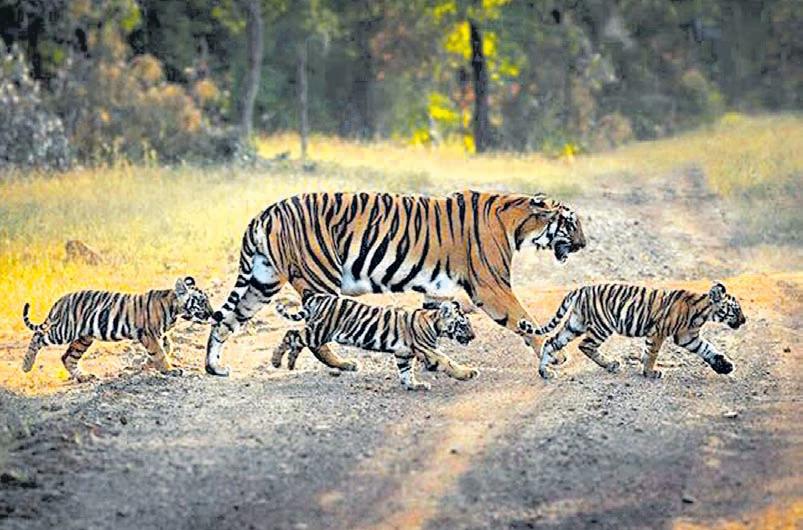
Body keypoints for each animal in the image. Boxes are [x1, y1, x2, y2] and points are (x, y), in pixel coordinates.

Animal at [21, 277, 213, 382]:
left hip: (83, 338)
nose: (215, 315)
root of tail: (61, 300)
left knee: (68, 357)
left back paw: (84, 377)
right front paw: (169, 370)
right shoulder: (149, 334)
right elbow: (159, 352)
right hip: (64, 330)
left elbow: (166, 347)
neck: (175, 309)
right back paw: (26, 365)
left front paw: (146, 365)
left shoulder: (159, 334)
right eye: (202, 302)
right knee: (39, 335)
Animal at [205, 190, 586, 376]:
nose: (584, 244)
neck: (519, 223)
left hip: (261, 282)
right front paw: (556, 356)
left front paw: (429, 363)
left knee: (224, 323)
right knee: (314, 334)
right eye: (571, 223)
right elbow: (525, 320)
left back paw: (215, 368)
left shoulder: (438, 289)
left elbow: (432, 326)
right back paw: (342, 365)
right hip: (319, 279)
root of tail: (264, 212)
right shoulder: (491, 287)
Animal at [271, 294, 477, 390]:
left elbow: (406, 373)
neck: (434, 322)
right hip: (319, 332)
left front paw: (414, 386)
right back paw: (276, 360)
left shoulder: (403, 354)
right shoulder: (428, 350)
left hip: (316, 331)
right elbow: (449, 362)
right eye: (463, 324)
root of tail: (320, 297)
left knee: (296, 340)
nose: (474, 336)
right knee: (291, 335)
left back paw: (290, 362)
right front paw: (468, 373)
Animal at [516, 281, 745, 379]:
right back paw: (611, 365)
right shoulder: (659, 332)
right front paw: (650, 372)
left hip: (574, 324)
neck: (704, 312)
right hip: (601, 326)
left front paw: (724, 366)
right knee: (585, 346)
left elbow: (708, 349)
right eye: (736, 309)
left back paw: (545, 372)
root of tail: (581, 289)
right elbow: (652, 353)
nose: (744, 320)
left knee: (551, 342)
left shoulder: (687, 337)